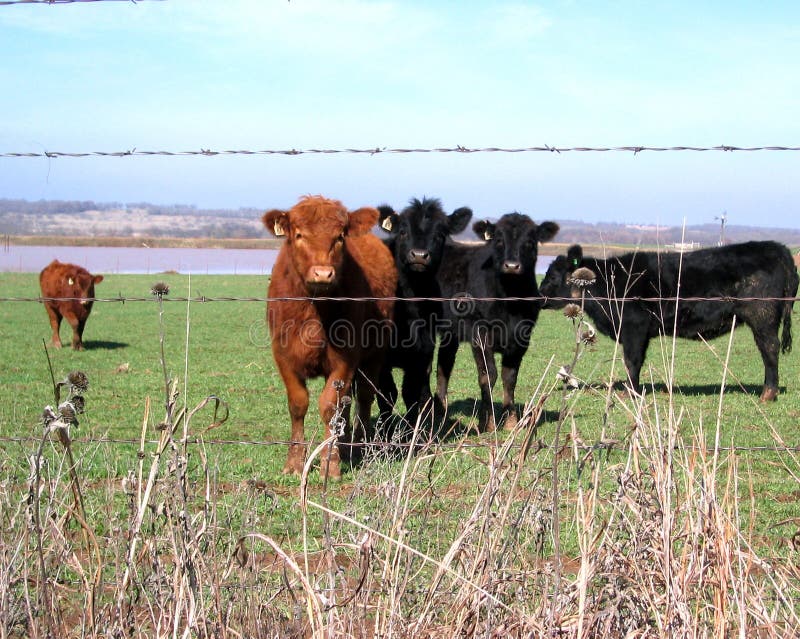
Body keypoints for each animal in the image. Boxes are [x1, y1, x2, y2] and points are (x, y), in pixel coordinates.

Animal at [264, 195, 398, 480]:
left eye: (339, 237)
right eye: (299, 234)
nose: (323, 273)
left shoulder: (345, 358)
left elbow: (328, 406)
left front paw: (330, 464)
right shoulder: (283, 355)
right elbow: (298, 404)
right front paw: (294, 462)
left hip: (374, 353)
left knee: (364, 397)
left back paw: (358, 444)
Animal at [376, 198, 472, 438]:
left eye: (439, 234)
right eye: (402, 231)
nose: (419, 255)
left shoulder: (421, 352)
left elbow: (411, 393)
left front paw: (412, 435)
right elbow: (387, 395)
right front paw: (384, 436)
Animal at [434, 214, 560, 430]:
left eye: (530, 241)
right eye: (499, 240)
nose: (512, 266)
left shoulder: (521, 336)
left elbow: (510, 377)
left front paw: (511, 421)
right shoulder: (479, 332)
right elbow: (488, 375)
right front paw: (488, 422)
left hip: (450, 332)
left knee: (444, 366)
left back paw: (441, 409)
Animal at [540, 241, 796, 400]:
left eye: (552, 276)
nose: (539, 296)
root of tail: (776, 247)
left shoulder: (634, 328)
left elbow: (632, 361)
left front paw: (630, 392)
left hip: (762, 317)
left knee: (769, 349)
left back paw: (768, 393)